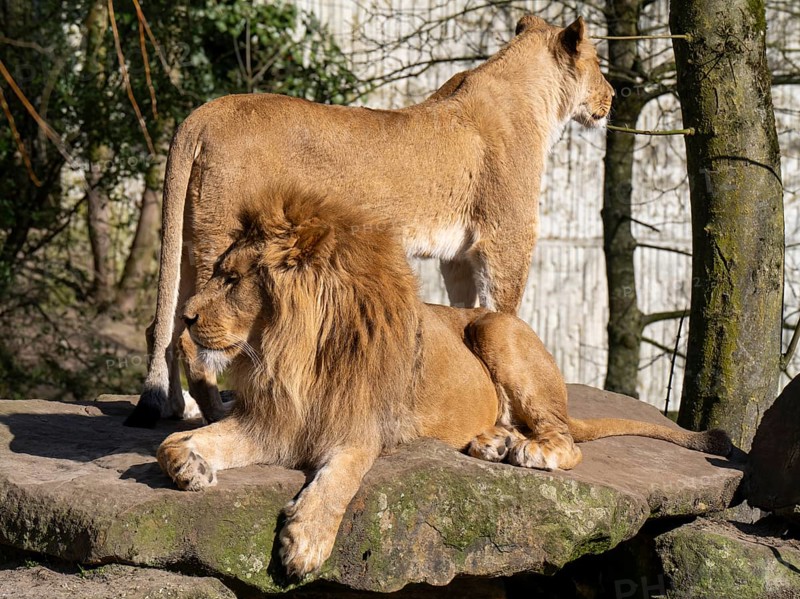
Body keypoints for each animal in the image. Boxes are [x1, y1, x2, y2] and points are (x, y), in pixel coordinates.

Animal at [127, 15, 616, 428]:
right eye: (598, 63)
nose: (613, 96)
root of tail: (202, 115)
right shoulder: (506, 238)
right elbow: (505, 309)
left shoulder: (458, 255)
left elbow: (467, 307)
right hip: (223, 240)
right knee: (192, 337)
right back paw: (212, 413)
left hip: (190, 240)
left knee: (163, 324)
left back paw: (174, 406)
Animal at [156, 185, 732, 578]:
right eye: (219, 272)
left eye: (233, 279)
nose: (184, 317)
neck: (291, 351)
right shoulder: (272, 421)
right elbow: (173, 443)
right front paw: (190, 463)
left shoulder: (360, 431)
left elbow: (339, 478)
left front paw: (306, 540)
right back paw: (493, 442)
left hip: (496, 327)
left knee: (567, 441)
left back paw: (530, 451)